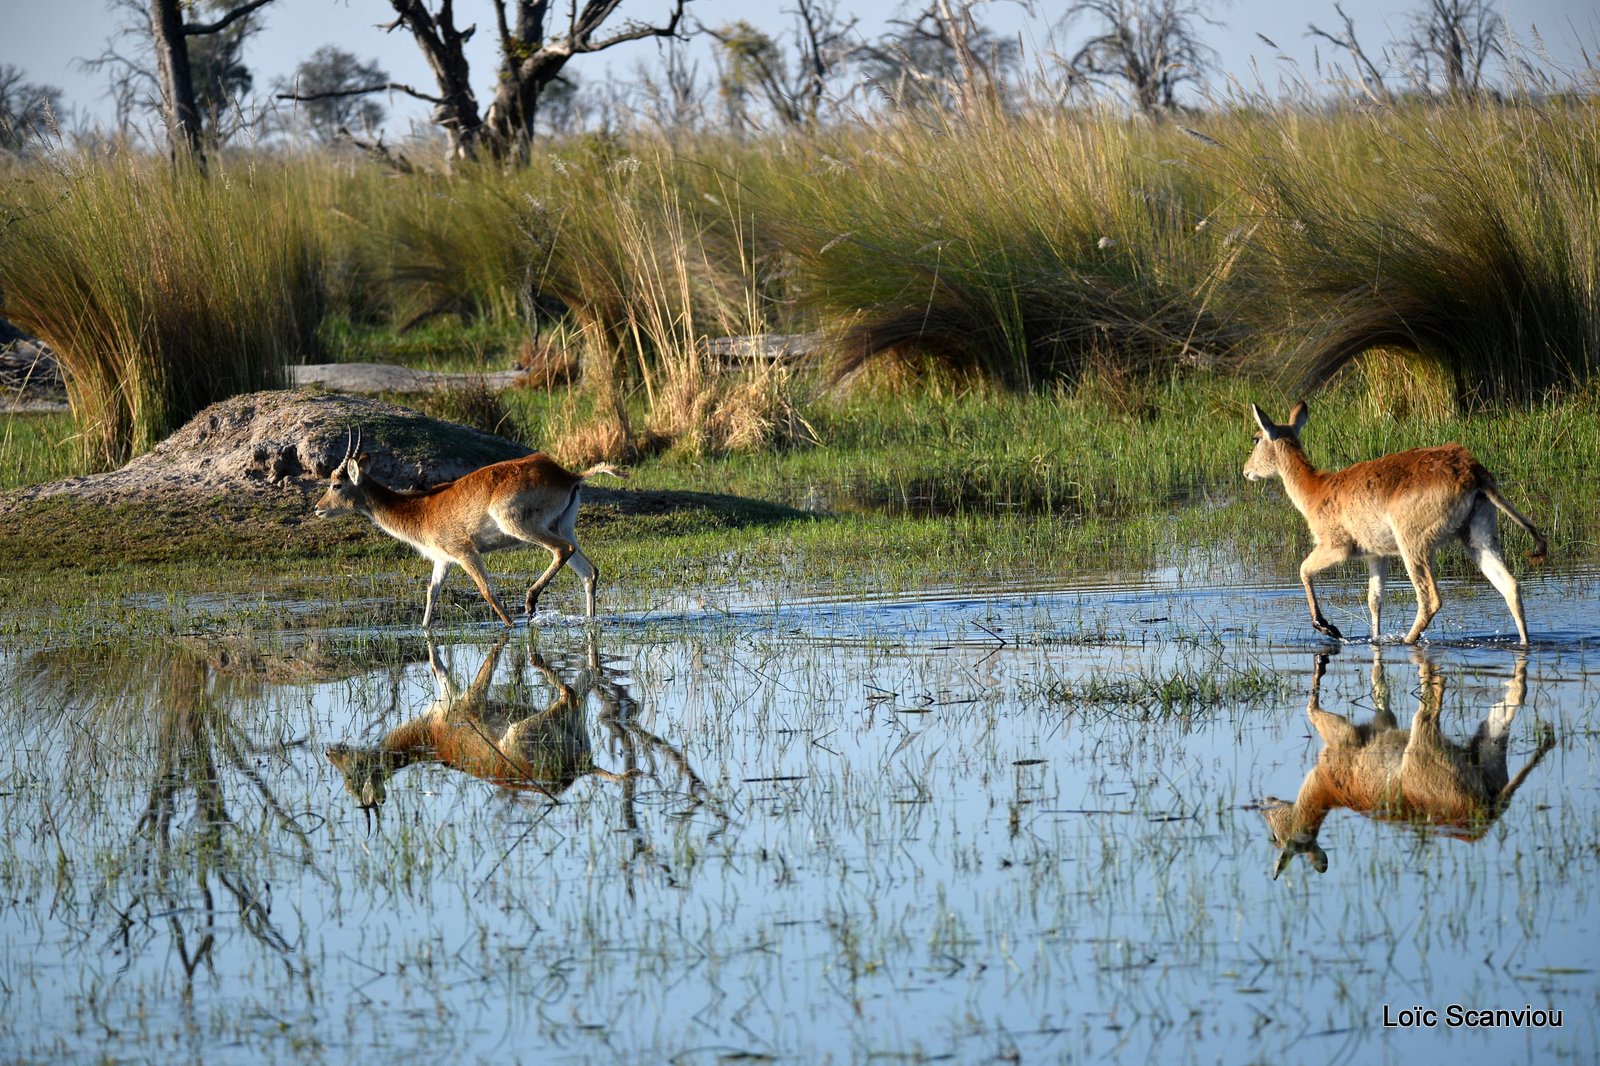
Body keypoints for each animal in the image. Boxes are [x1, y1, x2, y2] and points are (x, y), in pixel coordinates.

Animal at [315, 435, 627, 627]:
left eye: (336, 484)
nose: (318, 508)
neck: (421, 510)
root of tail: (568, 475)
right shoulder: (443, 560)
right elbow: (432, 592)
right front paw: (424, 629)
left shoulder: (465, 552)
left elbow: (487, 590)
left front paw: (511, 626)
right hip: (562, 526)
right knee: (589, 571)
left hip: (521, 525)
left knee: (563, 550)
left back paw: (529, 602)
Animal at [324, 630, 636, 813]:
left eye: (353, 776)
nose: (328, 751)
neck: (428, 735)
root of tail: (582, 767)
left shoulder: (467, 702)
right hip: (575, 720)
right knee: (589, 677)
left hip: (522, 732)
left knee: (569, 691)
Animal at [1241, 398, 1542, 640]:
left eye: (1256, 438)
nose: (1246, 471)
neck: (1316, 490)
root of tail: (1475, 473)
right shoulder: (1376, 554)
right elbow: (1374, 599)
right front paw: (1374, 638)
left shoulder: (1337, 546)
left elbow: (1303, 569)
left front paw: (1328, 627)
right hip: (1477, 537)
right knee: (1510, 586)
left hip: (1414, 544)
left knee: (1430, 599)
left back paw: (1407, 640)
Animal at [1260, 643, 1548, 877]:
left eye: (1275, 835)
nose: (1264, 802)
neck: (1327, 790)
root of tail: (1485, 814)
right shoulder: (1383, 722)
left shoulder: (1343, 739)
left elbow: (1312, 710)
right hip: (1489, 748)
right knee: (1510, 701)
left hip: (1422, 741)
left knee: (1435, 696)